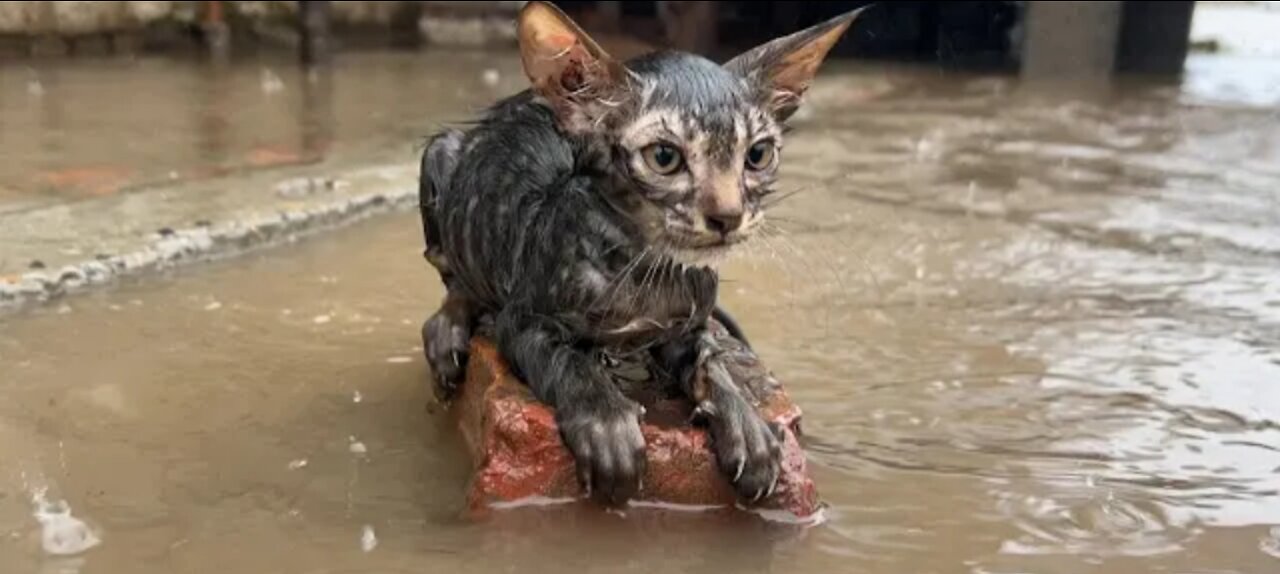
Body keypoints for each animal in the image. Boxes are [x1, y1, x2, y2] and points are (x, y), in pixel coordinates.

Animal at [419, 2, 860, 504]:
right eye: (664, 158)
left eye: (758, 155)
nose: (728, 216)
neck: (648, 270)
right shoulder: (524, 319)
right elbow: (568, 362)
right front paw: (606, 424)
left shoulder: (688, 328)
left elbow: (713, 365)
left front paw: (746, 426)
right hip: (440, 155)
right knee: (451, 277)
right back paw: (449, 332)